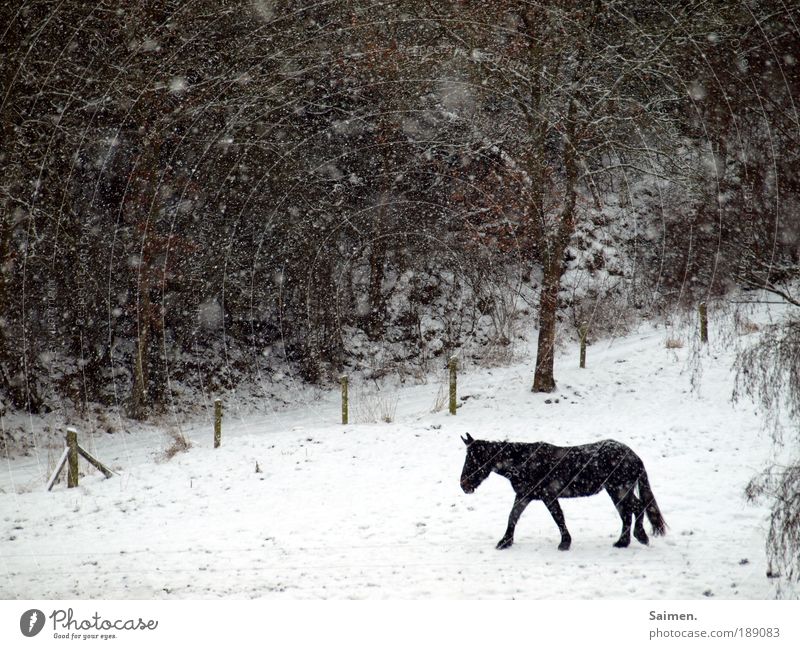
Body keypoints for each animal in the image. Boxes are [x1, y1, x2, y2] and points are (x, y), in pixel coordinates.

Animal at [460, 432, 664, 548]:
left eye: (473, 459)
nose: (463, 485)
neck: (524, 462)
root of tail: (634, 456)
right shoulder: (524, 495)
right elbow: (513, 516)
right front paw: (505, 542)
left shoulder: (548, 496)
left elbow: (558, 517)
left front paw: (565, 543)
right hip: (617, 491)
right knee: (627, 513)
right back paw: (623, 542)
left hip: (619, 489)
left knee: (636, 508)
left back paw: (640, 536)